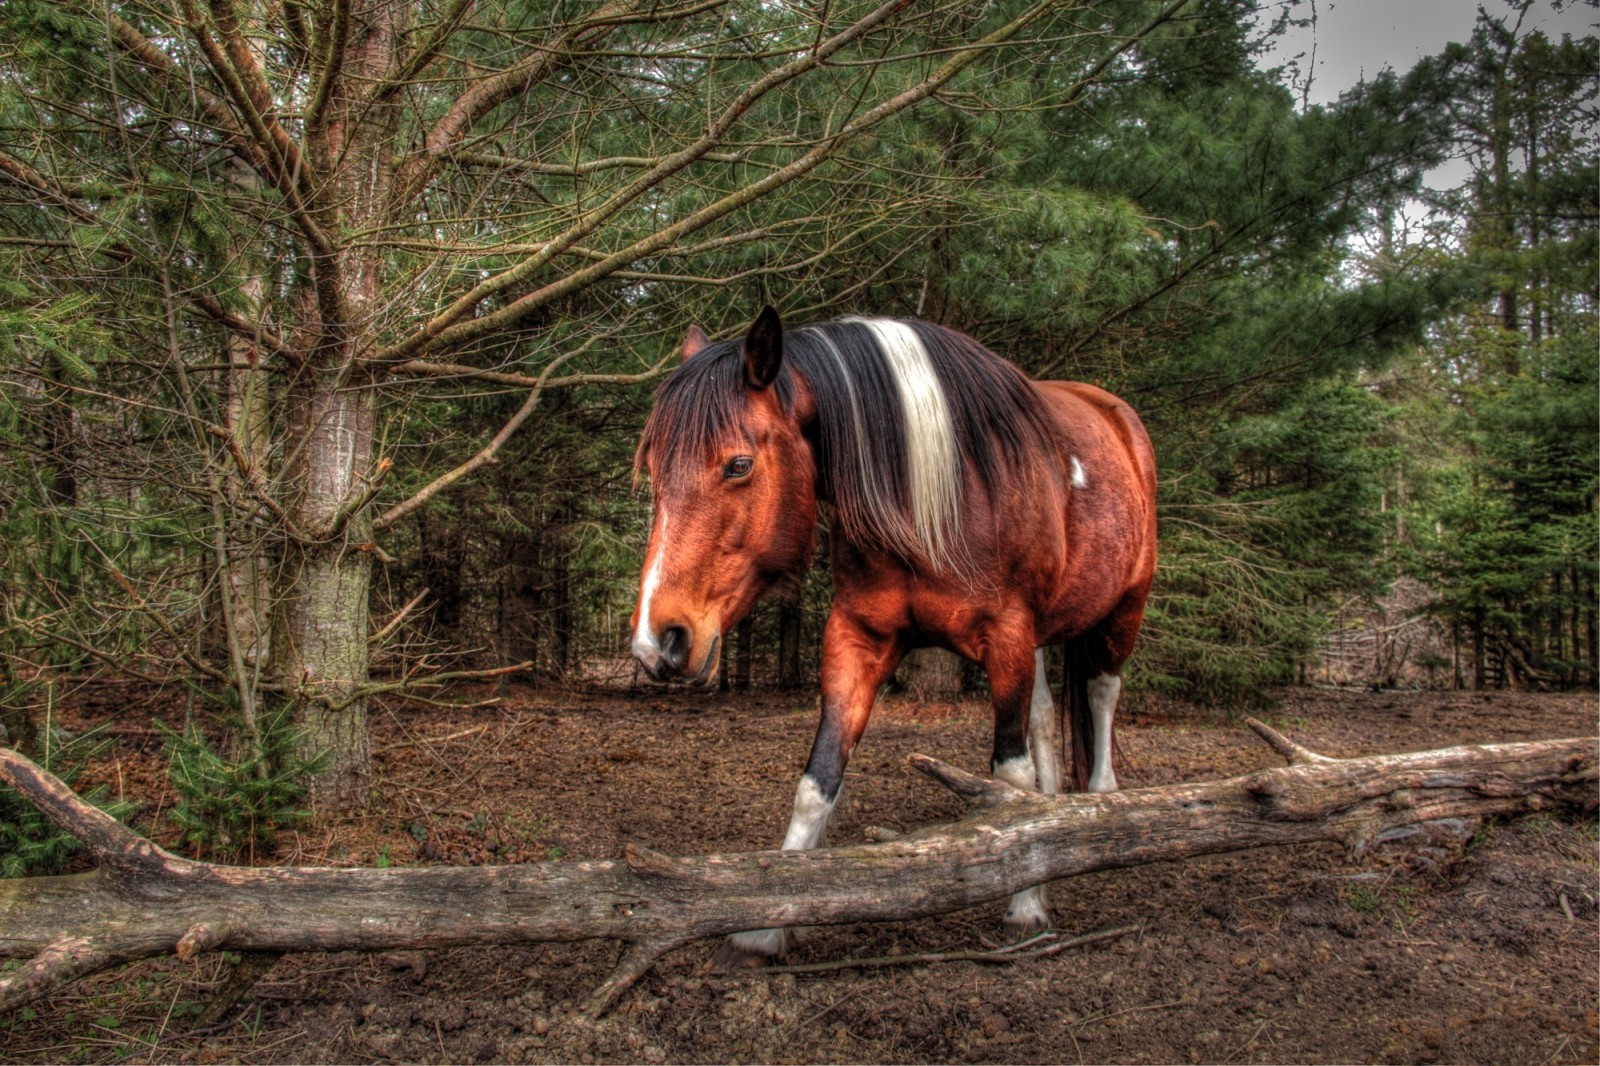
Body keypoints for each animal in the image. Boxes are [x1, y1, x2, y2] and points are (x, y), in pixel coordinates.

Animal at [630, 302, 1158, 960]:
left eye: (738, 465)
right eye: (652, 469)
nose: (657, 640)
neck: (934, 499)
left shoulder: (1007, 638)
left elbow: (1008, 777)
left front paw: (1026, 903)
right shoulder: (857, 638)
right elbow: (817, 782)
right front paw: (770, 922)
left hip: (1123, 609)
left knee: (1102, 695)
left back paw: (1104, 809)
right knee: (1043, 717)